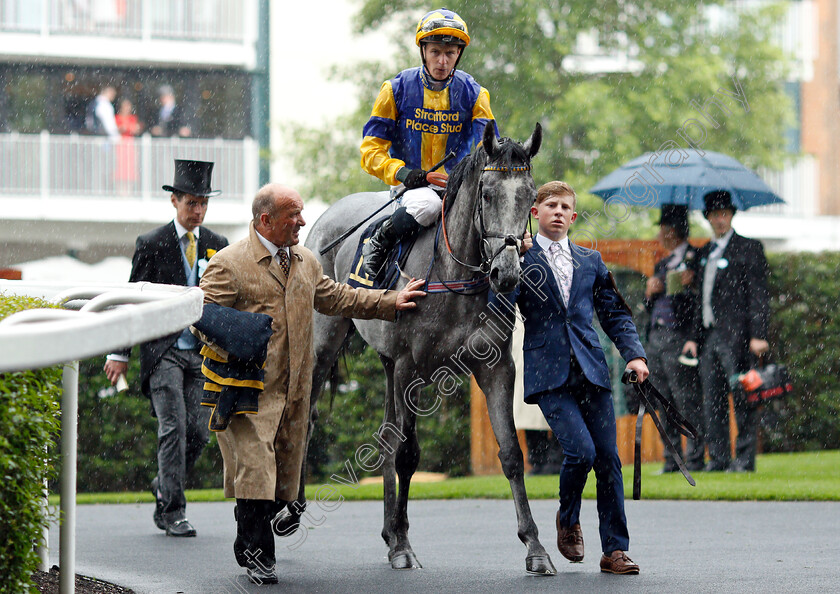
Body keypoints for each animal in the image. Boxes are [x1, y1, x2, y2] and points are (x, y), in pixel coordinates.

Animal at [296, 121, 556, 572]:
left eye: (529, 195)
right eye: (487, 194)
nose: (506, 273)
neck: (455, 278)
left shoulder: (496, 367)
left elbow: (510, 452)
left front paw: (535, 547)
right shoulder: (409, 367)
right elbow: (408, 454)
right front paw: (403, 544)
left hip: (383, 360)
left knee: (385, 433)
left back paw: (386, 531)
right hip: (325, 340)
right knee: (309, 419)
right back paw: (289, 511)